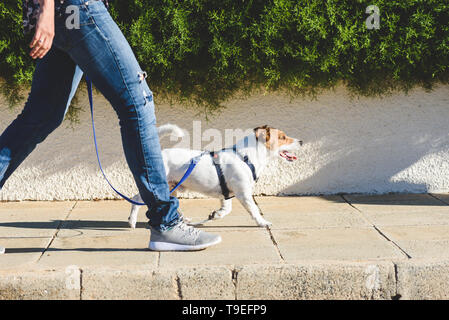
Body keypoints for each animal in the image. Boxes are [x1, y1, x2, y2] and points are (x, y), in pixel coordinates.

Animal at [128, 124, 302, 228]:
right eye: (282, 137)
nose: (301, 141)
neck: (246, 156)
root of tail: (161, 153)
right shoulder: (243, 193)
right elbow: (254, 209)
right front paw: (262, 222)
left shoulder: (226, 194)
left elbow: (226, 209)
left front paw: (216, 215)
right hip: (157, 186)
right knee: (136, 199)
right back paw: (132, 221)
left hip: (172, 187)